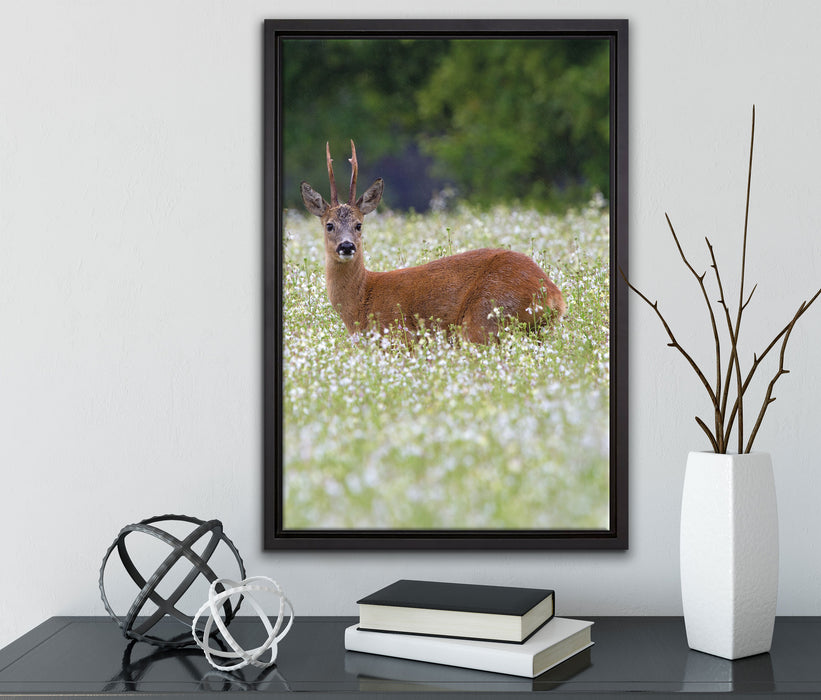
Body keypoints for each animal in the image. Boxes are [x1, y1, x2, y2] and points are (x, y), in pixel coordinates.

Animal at [300, 141, 566, 344]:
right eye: (329, 225)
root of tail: (554, 296)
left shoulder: (399, 336)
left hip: (485, 318)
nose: (346, 246)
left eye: (359, 225)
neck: (362, 299)